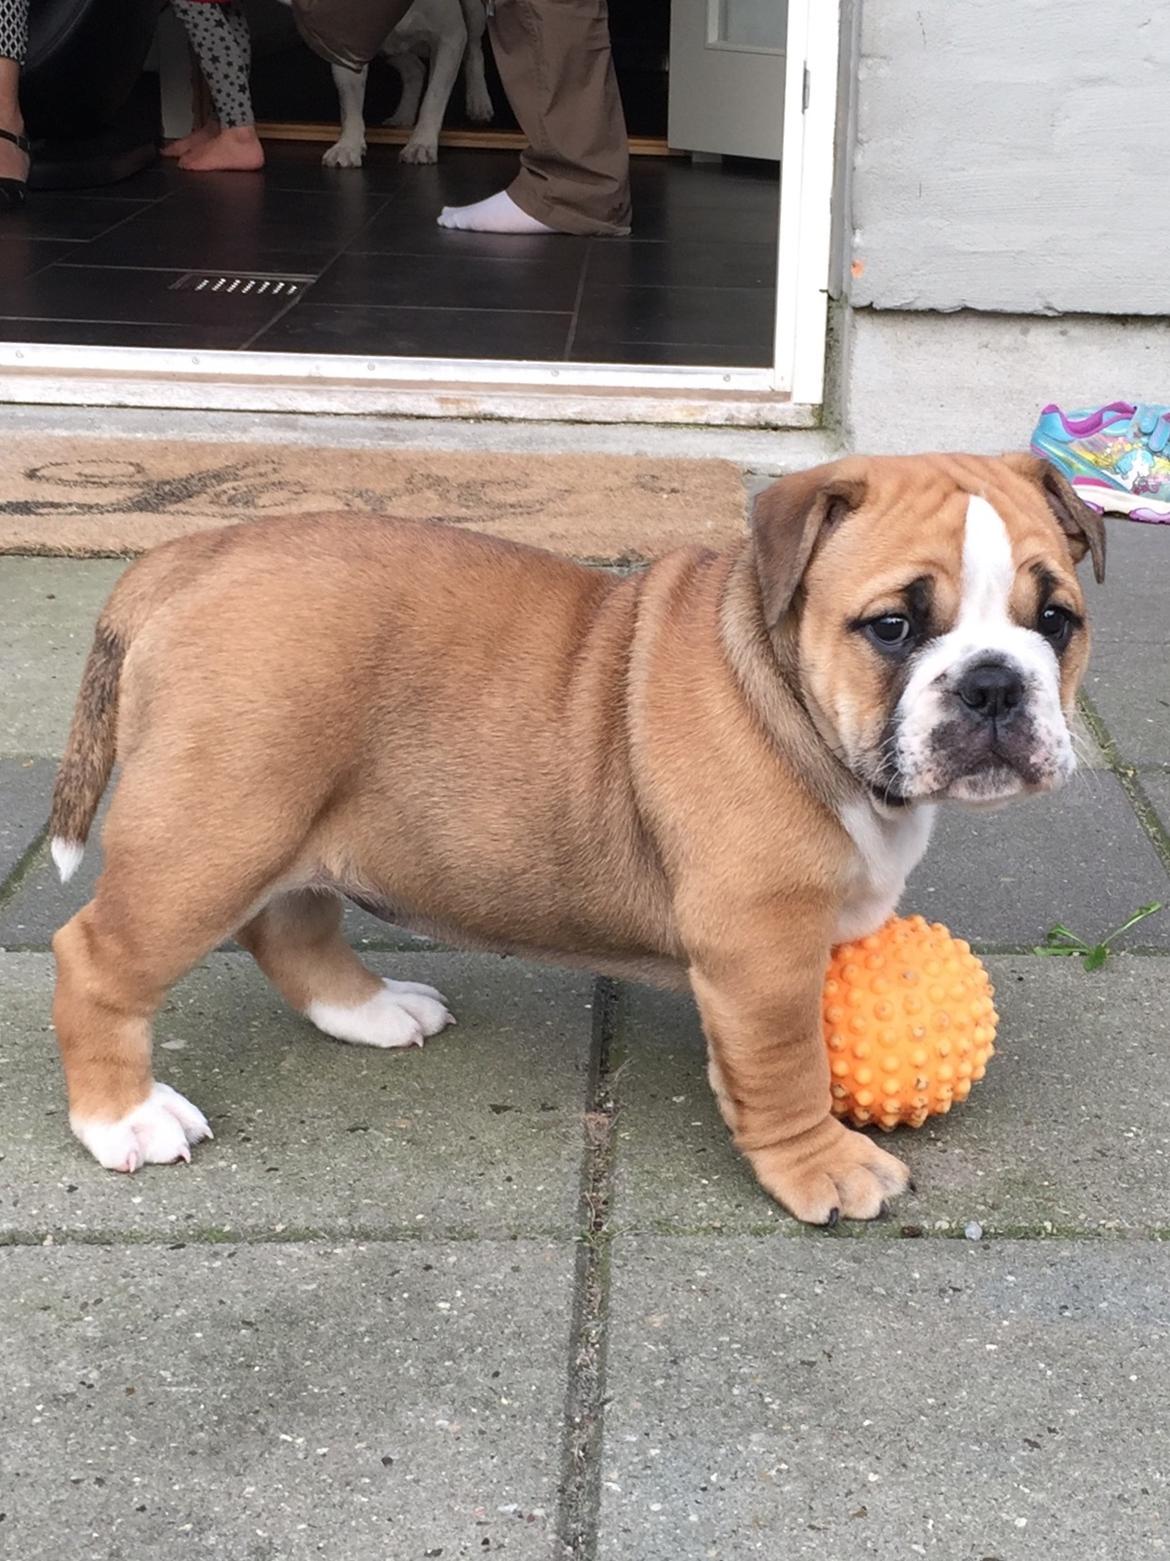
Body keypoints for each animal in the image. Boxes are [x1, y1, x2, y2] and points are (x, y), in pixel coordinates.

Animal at [48, 452, 1110, 1217]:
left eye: (1056, 621)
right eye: (892, 626)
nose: (994, 683)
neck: (789, 697)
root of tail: (185, 558)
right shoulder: (761, 948)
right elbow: (786, 1064)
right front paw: (824, 1166)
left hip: (292, 817)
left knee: (291, 924)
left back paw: (370, 1011)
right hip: (209, 836)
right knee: (96, 957)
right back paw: (123, 1119)